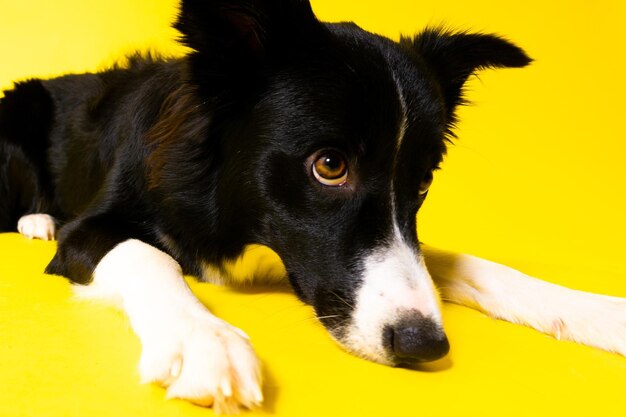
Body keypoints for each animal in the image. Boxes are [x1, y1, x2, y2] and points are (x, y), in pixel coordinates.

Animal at [1, 0, 624, 412]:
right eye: (329, 165)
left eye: (423, 181)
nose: (426, 343)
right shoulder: (93, 229)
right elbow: (147, 256)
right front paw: (203, 340)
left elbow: (459, 261)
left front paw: (592, 310)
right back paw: (37, 219)